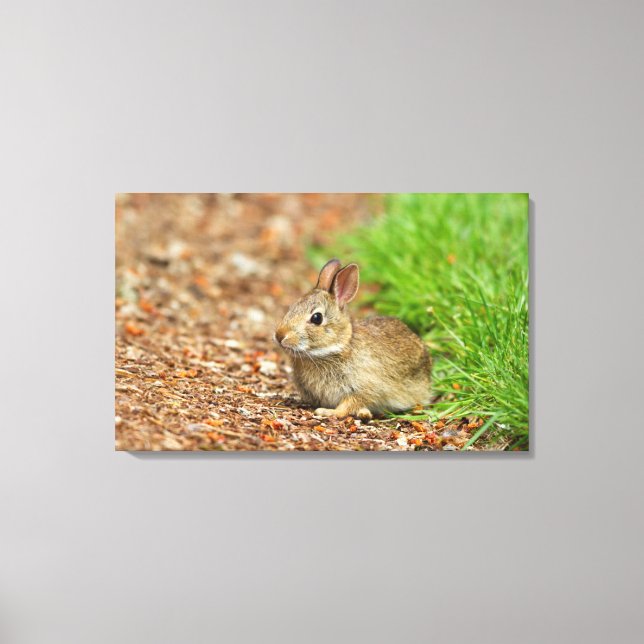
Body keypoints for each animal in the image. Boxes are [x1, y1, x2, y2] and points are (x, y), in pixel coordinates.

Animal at [274, 258, 432, 420]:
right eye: (292, 307)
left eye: (317, 318)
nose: (280, 336)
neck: (337, 347)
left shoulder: (363, 388)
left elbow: (348, 404)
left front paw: (328, 412)